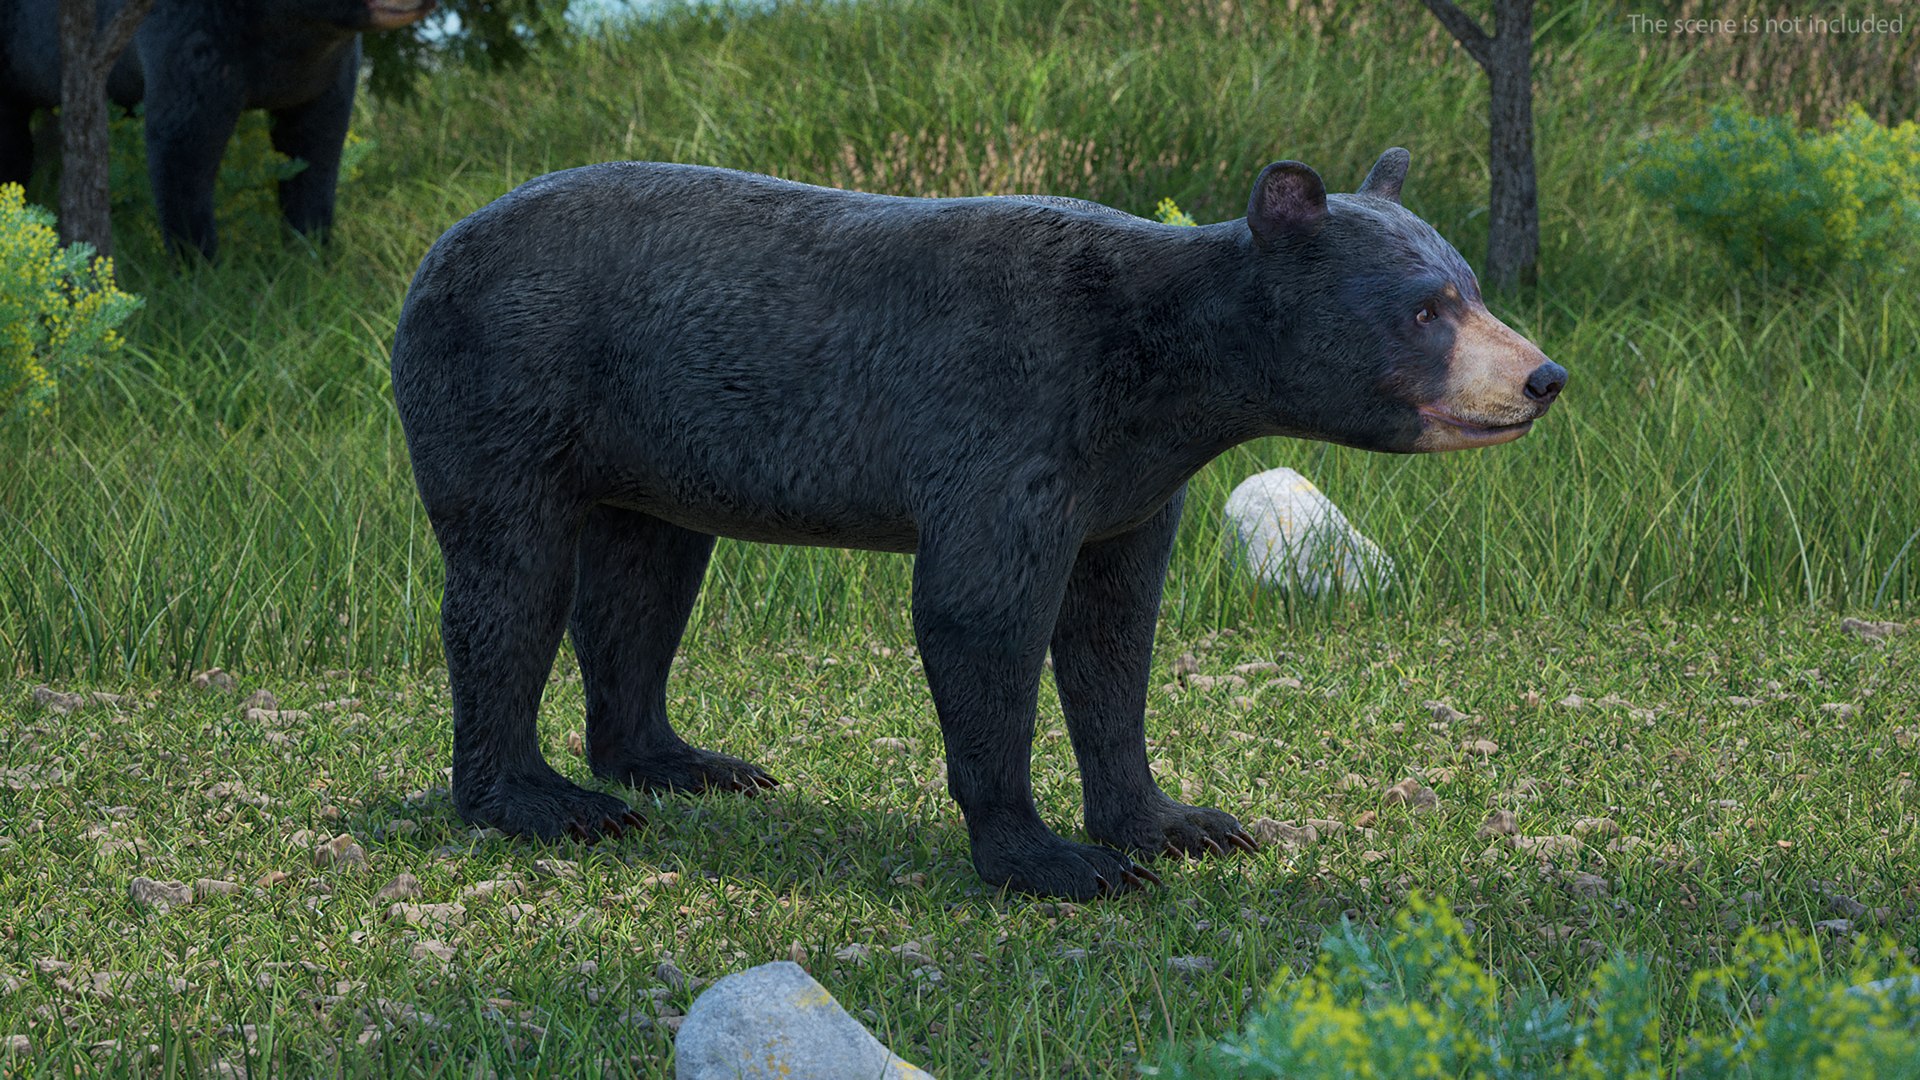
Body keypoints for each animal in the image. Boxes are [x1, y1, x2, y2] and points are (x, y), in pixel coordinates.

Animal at [0, 0, 436, 259]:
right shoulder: (194, 36)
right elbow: (182, 147)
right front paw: (197, 266)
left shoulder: (323, 65)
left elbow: (316, 144)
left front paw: (311, 247)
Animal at [388, 149, 1567, 900]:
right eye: (1424, 308)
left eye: (1468, 284)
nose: (1543, 376)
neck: (1160, 367)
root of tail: (437, 246)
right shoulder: (1012, 417)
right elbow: (980, 614)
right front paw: (1049, 859)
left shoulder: (1129, 481)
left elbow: (1114, 629)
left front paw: (1175, 822)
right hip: (508, 385)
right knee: (509, 581)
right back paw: (541, 798)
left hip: (651, 441)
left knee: (644, 576)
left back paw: (675, 761)